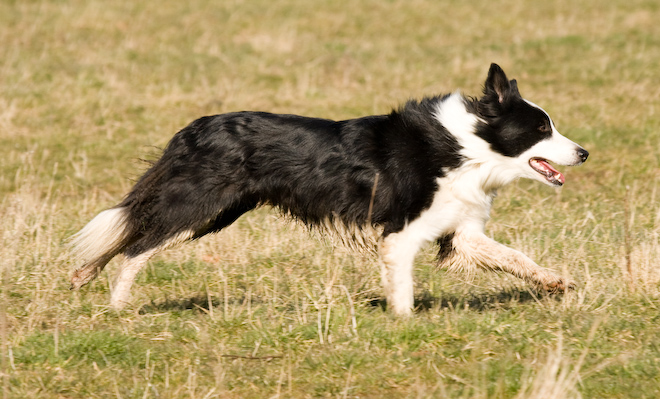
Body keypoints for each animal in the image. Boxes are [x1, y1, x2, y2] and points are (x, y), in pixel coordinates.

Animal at [71, 65, 588, 316]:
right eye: (541, 128)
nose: (583, 152)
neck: (469, 144)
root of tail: (190, 128)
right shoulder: (401, 232)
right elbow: (402, 284)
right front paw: (403, 324)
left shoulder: (459, 230)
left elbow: (515, 256)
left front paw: (556, 283)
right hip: (198, 206)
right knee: (135, 246)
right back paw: (117, 306)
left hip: (213, 212)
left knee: (130, 231)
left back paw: (83, 278)